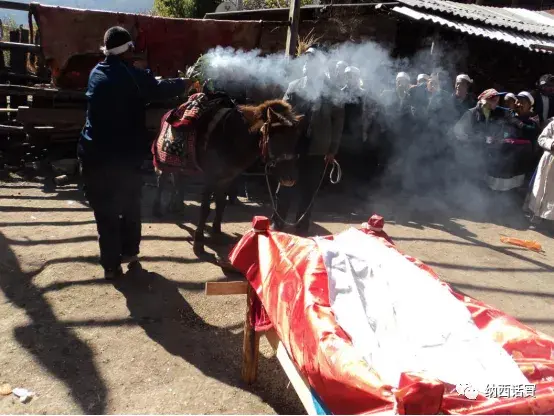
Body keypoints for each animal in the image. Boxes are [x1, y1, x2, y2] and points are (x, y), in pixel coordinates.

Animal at [153, 98, 304, 254]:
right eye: (276, 140)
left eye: (295, 141)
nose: (290, 179)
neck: (231, 138)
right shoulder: (211, 178)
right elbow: (205, 208)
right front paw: (199, 241)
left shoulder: (226, 178)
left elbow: (221, 204)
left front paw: (217, 232)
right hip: (163, 160)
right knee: (162, 179)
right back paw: (158, 209)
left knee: (178, 179)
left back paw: (176, 206)